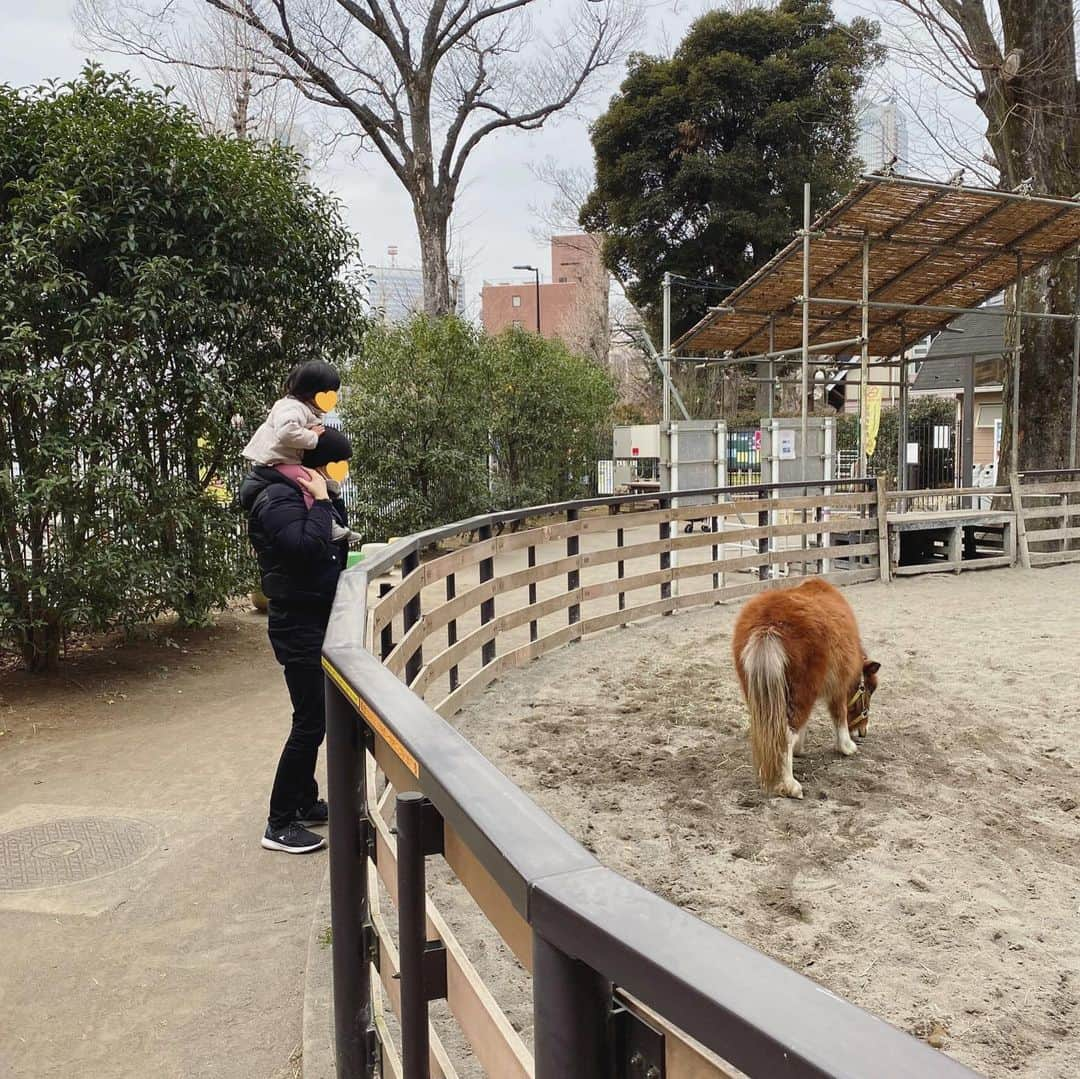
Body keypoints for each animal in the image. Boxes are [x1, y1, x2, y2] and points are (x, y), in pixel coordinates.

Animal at [730, 583, 881, 803]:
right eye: (868, 690)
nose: (863, 731)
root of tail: (768, 626)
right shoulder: (839, 687)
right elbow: (839, 716)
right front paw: (847, 746)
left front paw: (799, 749)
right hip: (802, 693)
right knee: (786, 734)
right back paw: (790, 787)